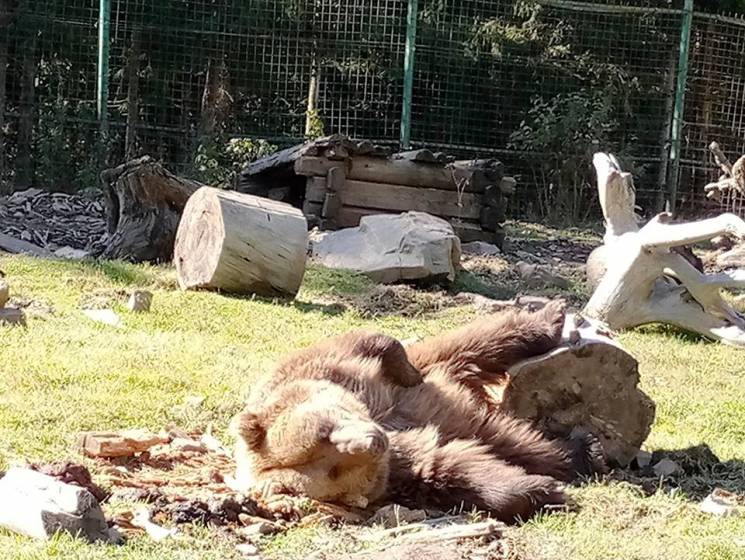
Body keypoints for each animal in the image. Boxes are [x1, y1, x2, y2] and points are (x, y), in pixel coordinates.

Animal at [232, 302, 604, 520]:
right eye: (335, 470)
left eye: (326, 432)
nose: (374, 441)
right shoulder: (403, 468)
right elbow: (454, 469)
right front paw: (543, 491)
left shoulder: (332, 368)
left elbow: (374, 343)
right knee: (520, 444)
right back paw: (581, 453)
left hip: (445, 368)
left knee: (480, 341)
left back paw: (552, 316)